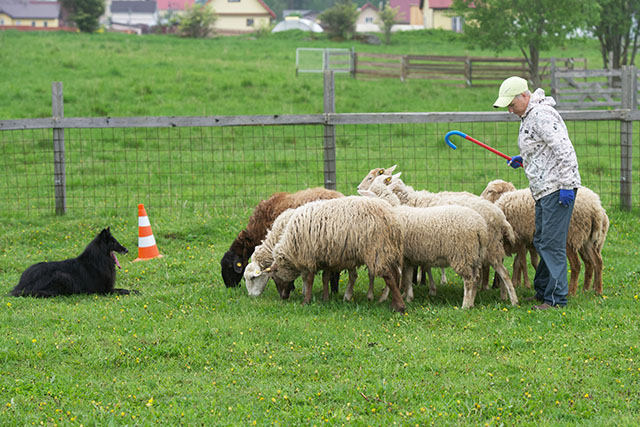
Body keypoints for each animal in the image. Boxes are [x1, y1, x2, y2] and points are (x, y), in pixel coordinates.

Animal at [250, 197, 404, 314]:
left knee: (389, 276)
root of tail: (391, 217)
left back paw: (400, 307)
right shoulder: (326, 258)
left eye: (274, 277)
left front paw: (306, 301)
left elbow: (309, 279)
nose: (283, 297)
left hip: (376, 249)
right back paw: (393, 304)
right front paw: (325, 298)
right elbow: (325, 277)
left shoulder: (309, 257)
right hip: (388, 249)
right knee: (396, 275)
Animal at [480, 179, 608, 296]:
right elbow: (522, 261)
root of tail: (595, 207)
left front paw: (520, 284)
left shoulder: (520, 239)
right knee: (596, 262)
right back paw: (595, 290)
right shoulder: (523, 240)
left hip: (570, 237)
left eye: (490, 191)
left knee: (577, 265)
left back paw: (572, 292)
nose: (480, 198)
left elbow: (521, 262)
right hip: (588, 239)